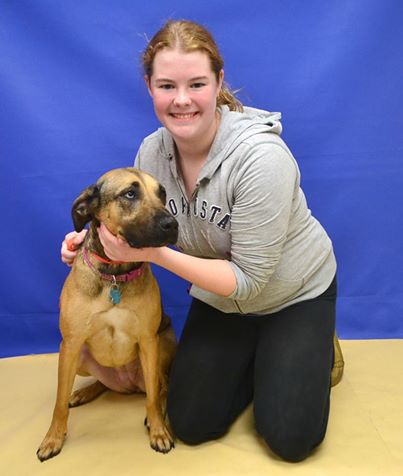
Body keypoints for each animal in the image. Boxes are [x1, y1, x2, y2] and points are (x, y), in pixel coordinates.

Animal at [36, 167, 178, 462]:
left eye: (162, 193)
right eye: (130, 193)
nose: (172, 224)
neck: (115, 273)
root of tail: (128, 385)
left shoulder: (149, 340)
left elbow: (152, 399)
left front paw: (158, 431)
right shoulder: (71, 343)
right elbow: (58, 402)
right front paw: (53, 438)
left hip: (163, 346)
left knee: (160, 388)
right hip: (76, 356)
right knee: (102, 384)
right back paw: (83, 392)